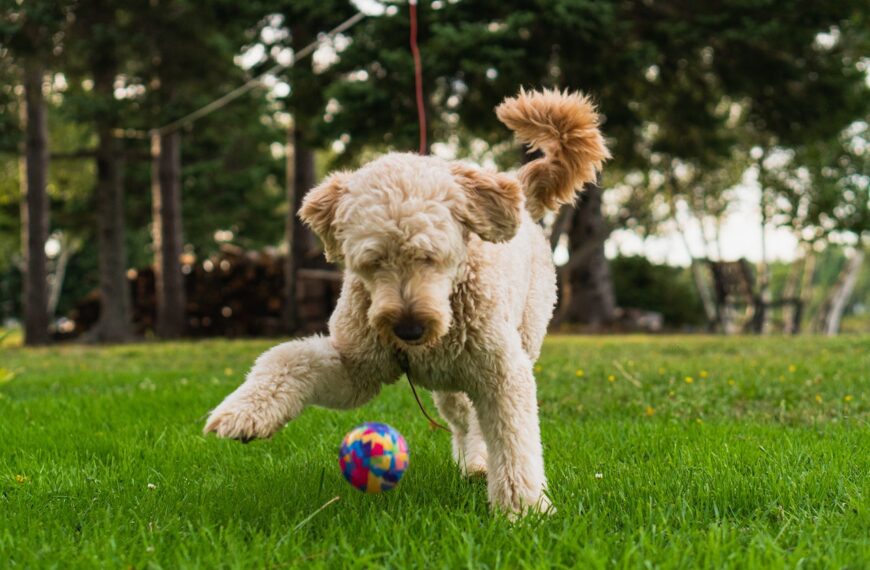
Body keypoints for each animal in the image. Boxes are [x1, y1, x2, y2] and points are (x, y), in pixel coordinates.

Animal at [207, 87, 608, 516]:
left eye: (430, 256)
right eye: (372, 261)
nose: (409, 329)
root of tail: (516, 185)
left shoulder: (502, 373)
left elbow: (513, 441)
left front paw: (524, 510)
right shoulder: (357, 368)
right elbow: (288, 358)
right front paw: (244, 413)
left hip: (522, 336)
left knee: (481, 422)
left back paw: (483, 466)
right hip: (450, 385)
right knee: (463, 419)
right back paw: (473, 461)